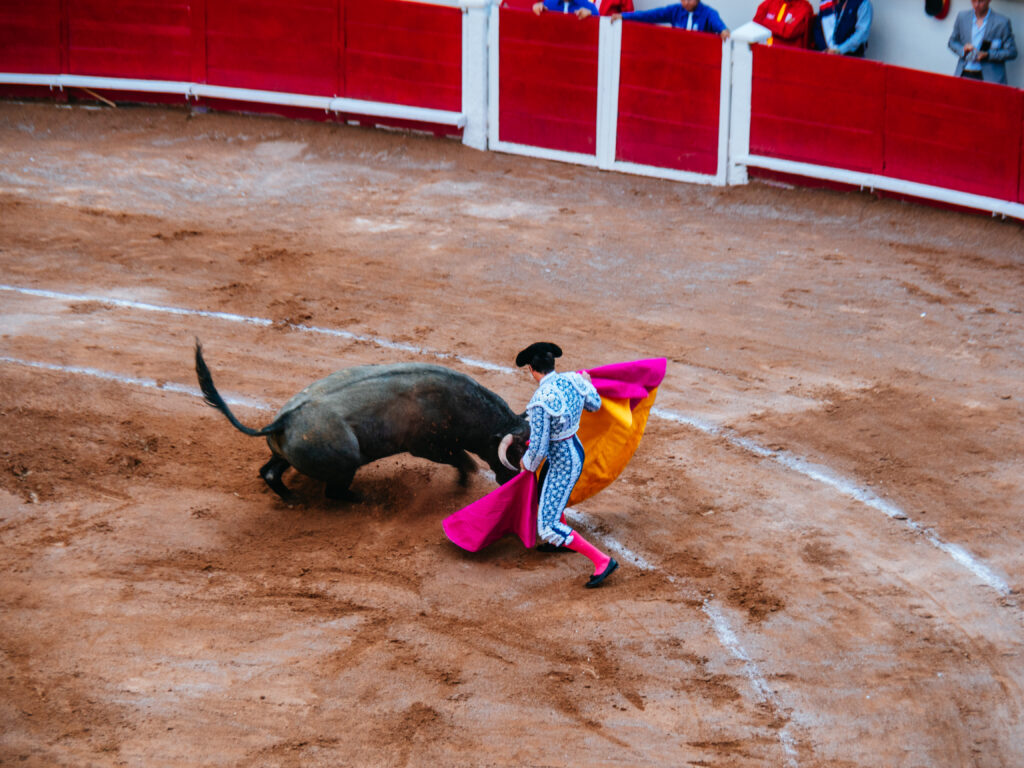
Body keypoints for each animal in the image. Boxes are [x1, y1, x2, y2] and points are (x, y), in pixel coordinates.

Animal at [193, 344, 528, 501]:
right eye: (514, 453)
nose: (511, 480)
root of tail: (283, 421)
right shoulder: (428, 447)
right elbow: (462, 460)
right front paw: (465, 480)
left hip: (284, 455)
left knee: (271, 473)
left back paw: (293, 499)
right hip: (346, 464)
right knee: (334, 493)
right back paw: (370, 499)